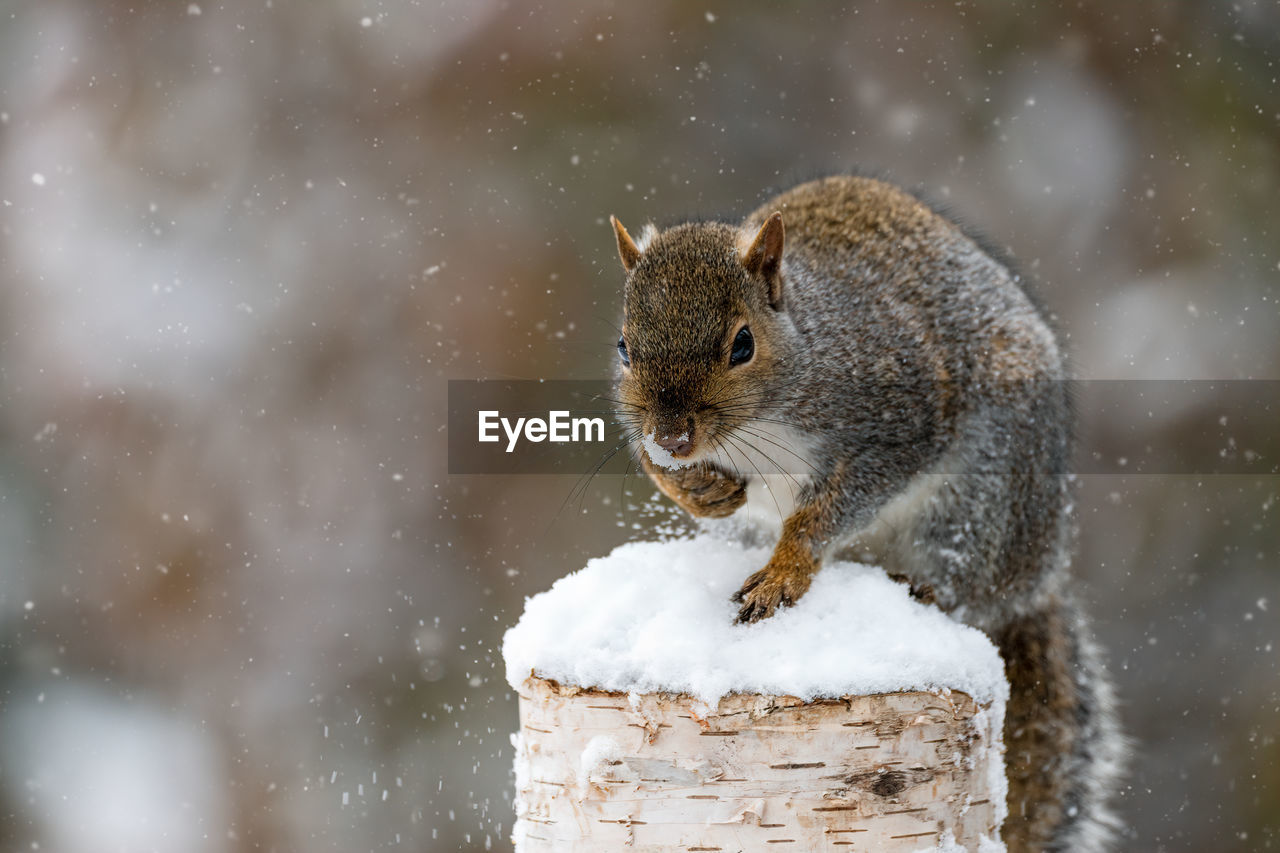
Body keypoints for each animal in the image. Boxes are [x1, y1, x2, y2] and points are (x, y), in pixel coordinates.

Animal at [606, 172, 1121, 850]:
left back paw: (927, 588)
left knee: (973, 585)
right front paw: (699, 490)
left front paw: (785, 570)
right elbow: (662, 472)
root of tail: (1040, 568)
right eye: (624, 347)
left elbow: (834, 506)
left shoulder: (898, 422)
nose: (673, 437)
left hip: (982, 502)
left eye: (742, 344)